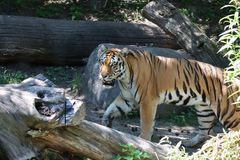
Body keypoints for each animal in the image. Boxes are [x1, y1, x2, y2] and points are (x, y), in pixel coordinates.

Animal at [97, 44, 240, 147]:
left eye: (113, 64)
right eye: (102, 63)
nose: (103, 75)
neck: (125, 78)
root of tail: (232, 76)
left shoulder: (147, 101)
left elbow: (146, 123)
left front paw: (143, 140)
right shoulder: (127, 99)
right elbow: (111, 108)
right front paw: (105, 123)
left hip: (227, 111)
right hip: (204, 109)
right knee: (205, 131)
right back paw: (190, 142)